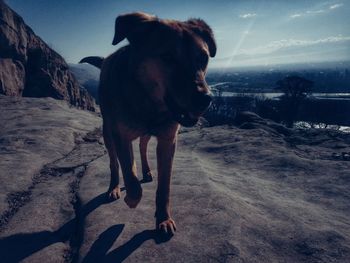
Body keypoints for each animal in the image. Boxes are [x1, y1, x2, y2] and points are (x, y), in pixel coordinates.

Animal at [80, 11, 215, 236]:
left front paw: (163, 219)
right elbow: (130, 175)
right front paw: (131, 198)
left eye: (203, 58)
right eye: (168, 57)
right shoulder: (121, 136)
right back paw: (114, 187)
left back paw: (147, 170)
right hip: (108, 132)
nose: (205, 99)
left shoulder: (168, 141)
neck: (149, 101)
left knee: (143, 146)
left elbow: (164, 187)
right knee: (114, 162)